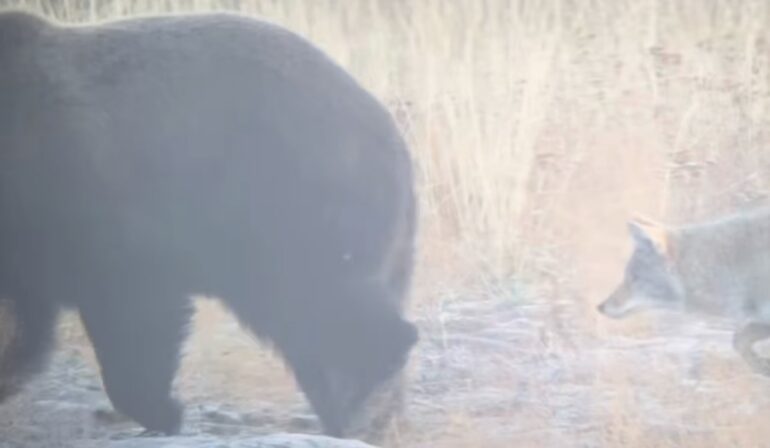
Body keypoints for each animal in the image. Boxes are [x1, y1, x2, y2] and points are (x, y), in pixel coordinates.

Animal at [0, 9, 418, 439]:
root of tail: (392, 134)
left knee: (322, 302)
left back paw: (366, 397)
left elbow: (134, 301)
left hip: (286, 207)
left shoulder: (91, 199)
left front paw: (162, 410)